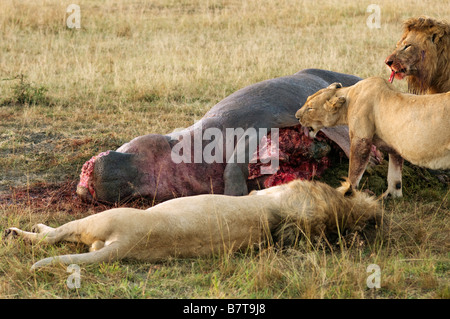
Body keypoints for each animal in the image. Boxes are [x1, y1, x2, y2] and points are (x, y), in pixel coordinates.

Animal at [296, 77, 450, 198]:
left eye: (310, 108)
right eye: (307, 100)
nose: (297, 116)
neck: (350, 97)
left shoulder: (361, 138)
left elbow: (354, 172)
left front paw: (344, 193)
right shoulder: (393, 145)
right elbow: (395, 176)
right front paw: (390, 196)